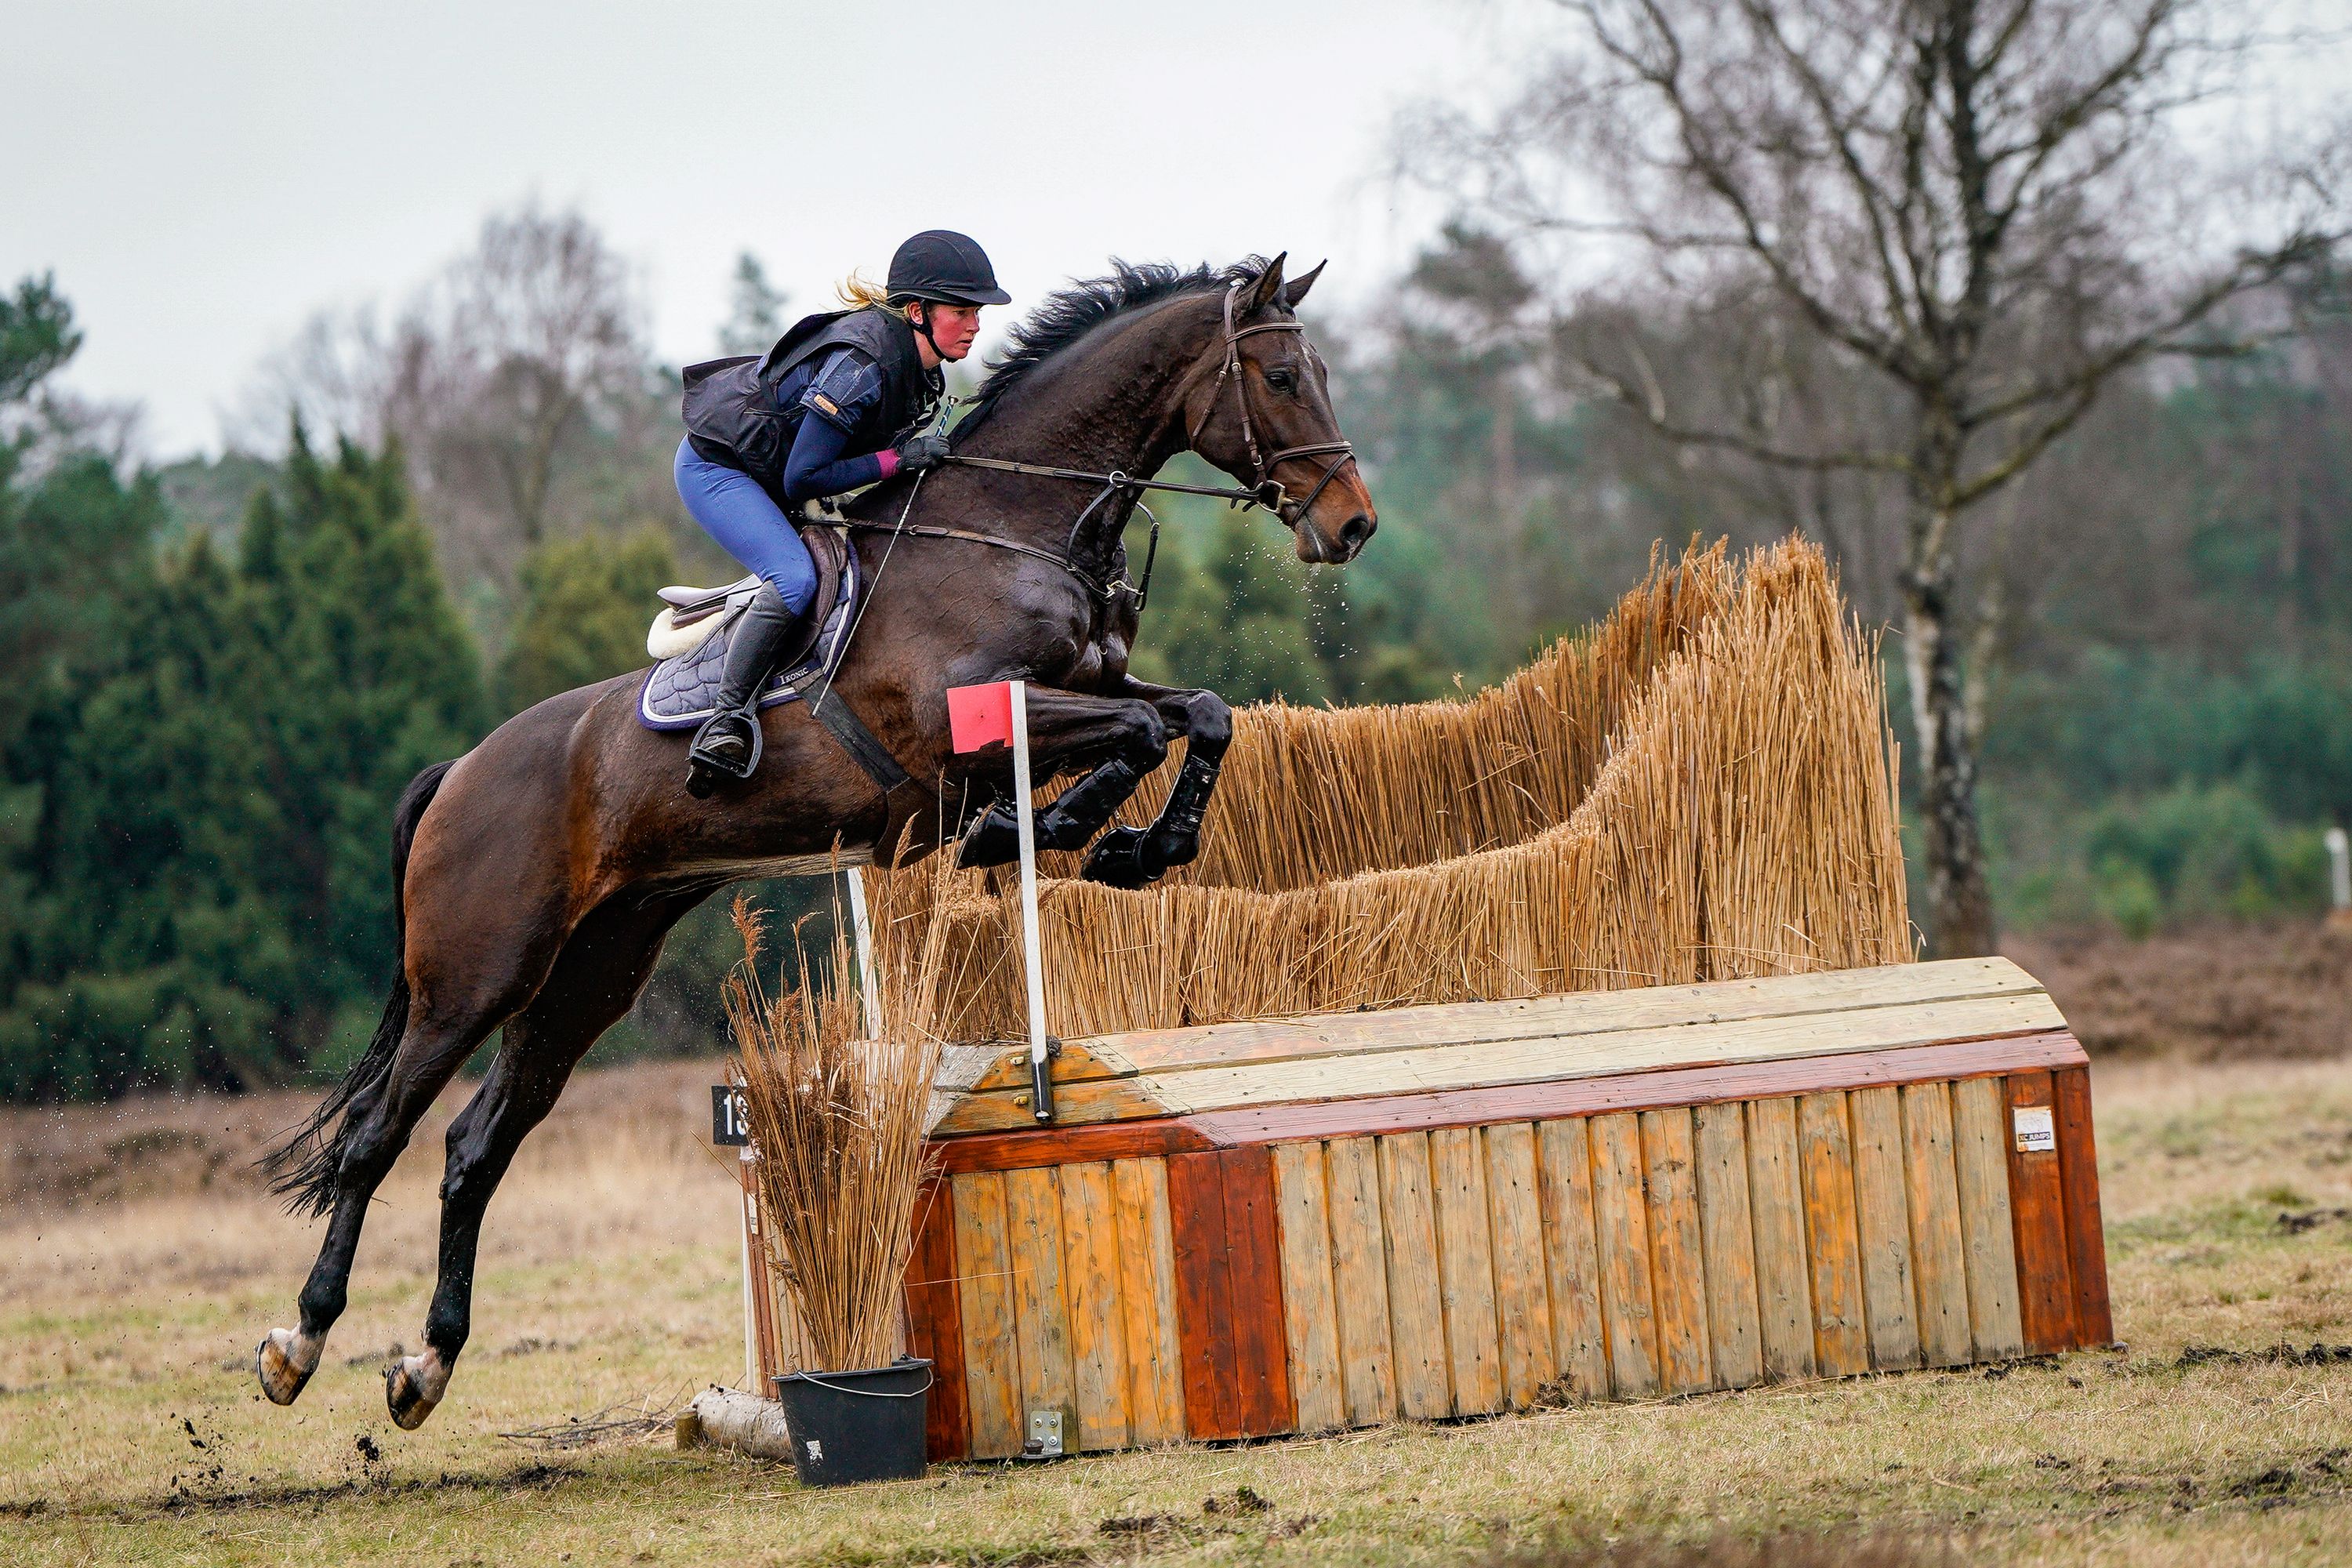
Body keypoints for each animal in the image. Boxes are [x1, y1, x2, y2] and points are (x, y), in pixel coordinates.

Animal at [253, 253, 1377, 1430]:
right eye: (1284, 377)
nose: (1353, 526)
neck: (1015, 525)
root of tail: (458, 771)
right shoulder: (967, 729)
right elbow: (1142, 733)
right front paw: (1056, 829)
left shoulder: (1083, 693)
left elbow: (1197, 715)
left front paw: (1119, 843)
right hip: (477, 974)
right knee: (377, 1132)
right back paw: (298, 1342)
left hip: (590, 974)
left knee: (476, 1146)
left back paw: (425, 1364)